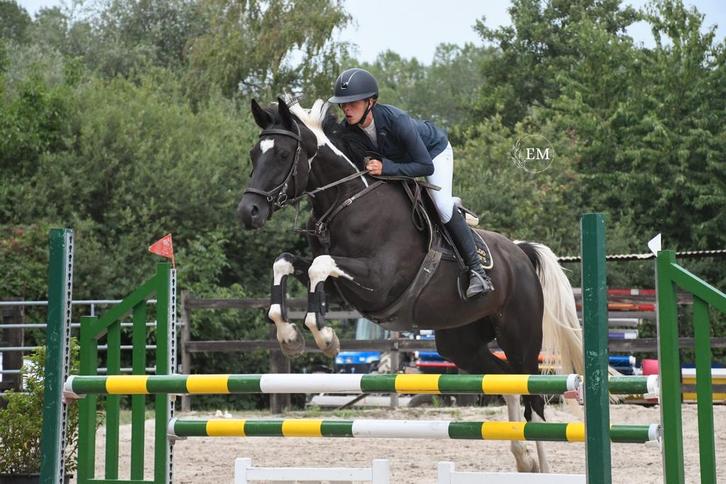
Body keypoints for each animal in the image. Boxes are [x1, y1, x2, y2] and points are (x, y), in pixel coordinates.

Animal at [237, 97, 584, 473]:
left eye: (284, 155)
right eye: (254, 154)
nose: (248, 212)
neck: (347, 200)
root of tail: (520, 252)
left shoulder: (378, 281)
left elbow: (320, 266)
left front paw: (325, 338)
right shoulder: (342, 290)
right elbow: (286, 262)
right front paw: (290, 337)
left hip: (521, 338)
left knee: (534, 396)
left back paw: (542, 466)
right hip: (461, 344)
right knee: (507, 382)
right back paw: (523, 458)